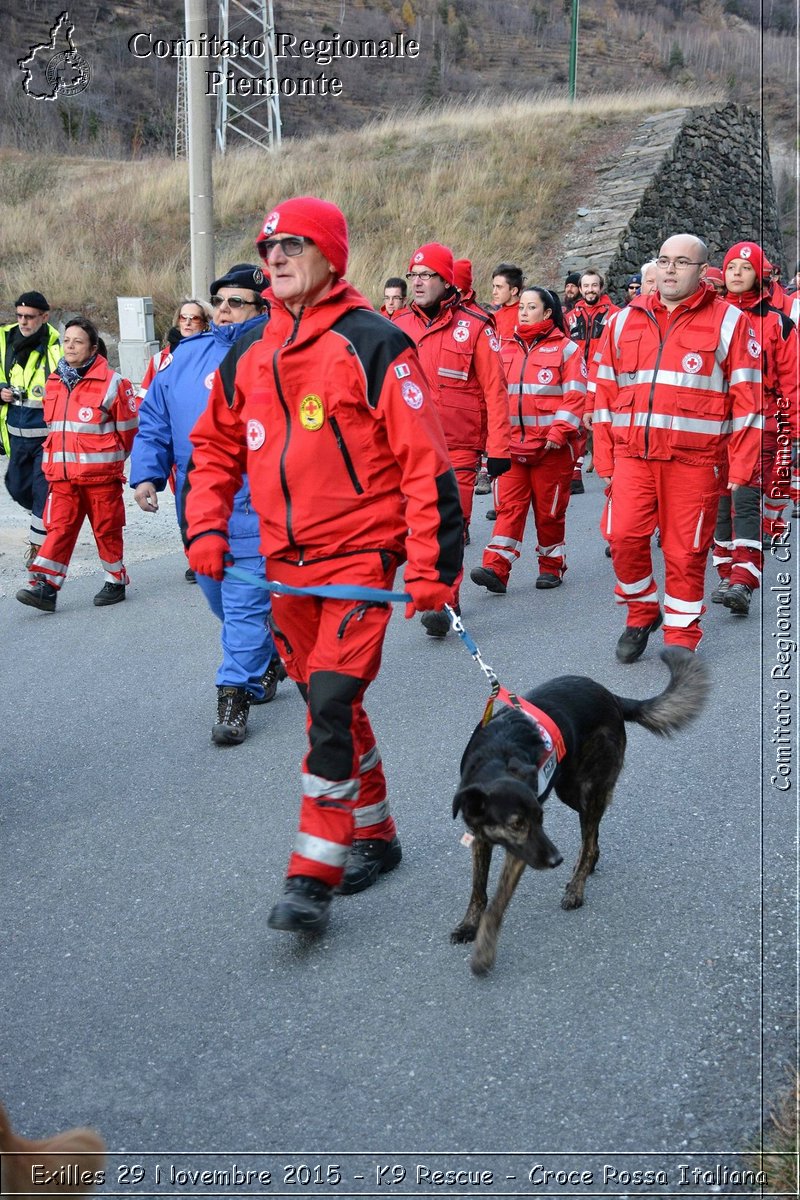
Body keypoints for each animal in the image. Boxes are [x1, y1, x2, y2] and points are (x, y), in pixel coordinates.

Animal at [453, 648, 710, 974]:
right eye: (516, 824)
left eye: (540, 819)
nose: (555, 860)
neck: (495, 760)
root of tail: (611, 696)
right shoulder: (481, 837)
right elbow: (478, 888)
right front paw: (469, 924)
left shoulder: (523, 852)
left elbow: (498, 900)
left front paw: (484, 951)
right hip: (570, 789)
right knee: (592, 833)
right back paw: (583, 867)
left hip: (586, 786)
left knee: (590, 834)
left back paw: (577, 886)